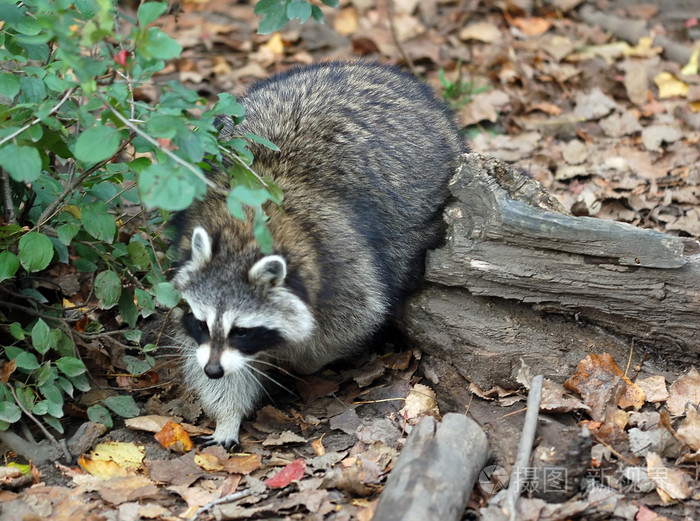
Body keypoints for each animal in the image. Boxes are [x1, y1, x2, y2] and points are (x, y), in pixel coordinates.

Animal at [172, 61, 468, 446]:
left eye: (241, 331)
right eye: (201, 322)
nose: (213, 370)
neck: (244, 231)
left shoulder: (342, 263)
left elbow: (352, 322)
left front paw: (298, 359)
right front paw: (228, 414)